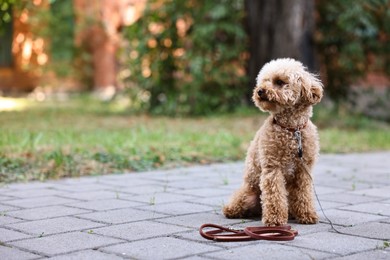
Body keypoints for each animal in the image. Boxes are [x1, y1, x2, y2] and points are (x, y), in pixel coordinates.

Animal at [222, 58, 322, 226]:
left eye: (280, 82)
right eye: (264, 80)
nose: (260, 91)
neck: (291, 129)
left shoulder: (303, 170)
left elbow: (303, 193)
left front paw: (306, 214)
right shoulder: (272, 168)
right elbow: (274, 195)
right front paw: (275, 219)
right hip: (248, 194)